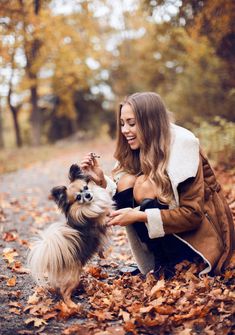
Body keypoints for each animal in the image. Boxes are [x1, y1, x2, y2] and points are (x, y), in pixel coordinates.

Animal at [27, 164, 112, 308]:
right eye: (78, 197)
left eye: (86, 188)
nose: (88, 195)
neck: (86, 208)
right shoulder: (102, 220)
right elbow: (108, 215)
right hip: (74, 278)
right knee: (64, 293)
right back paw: (73, 306)